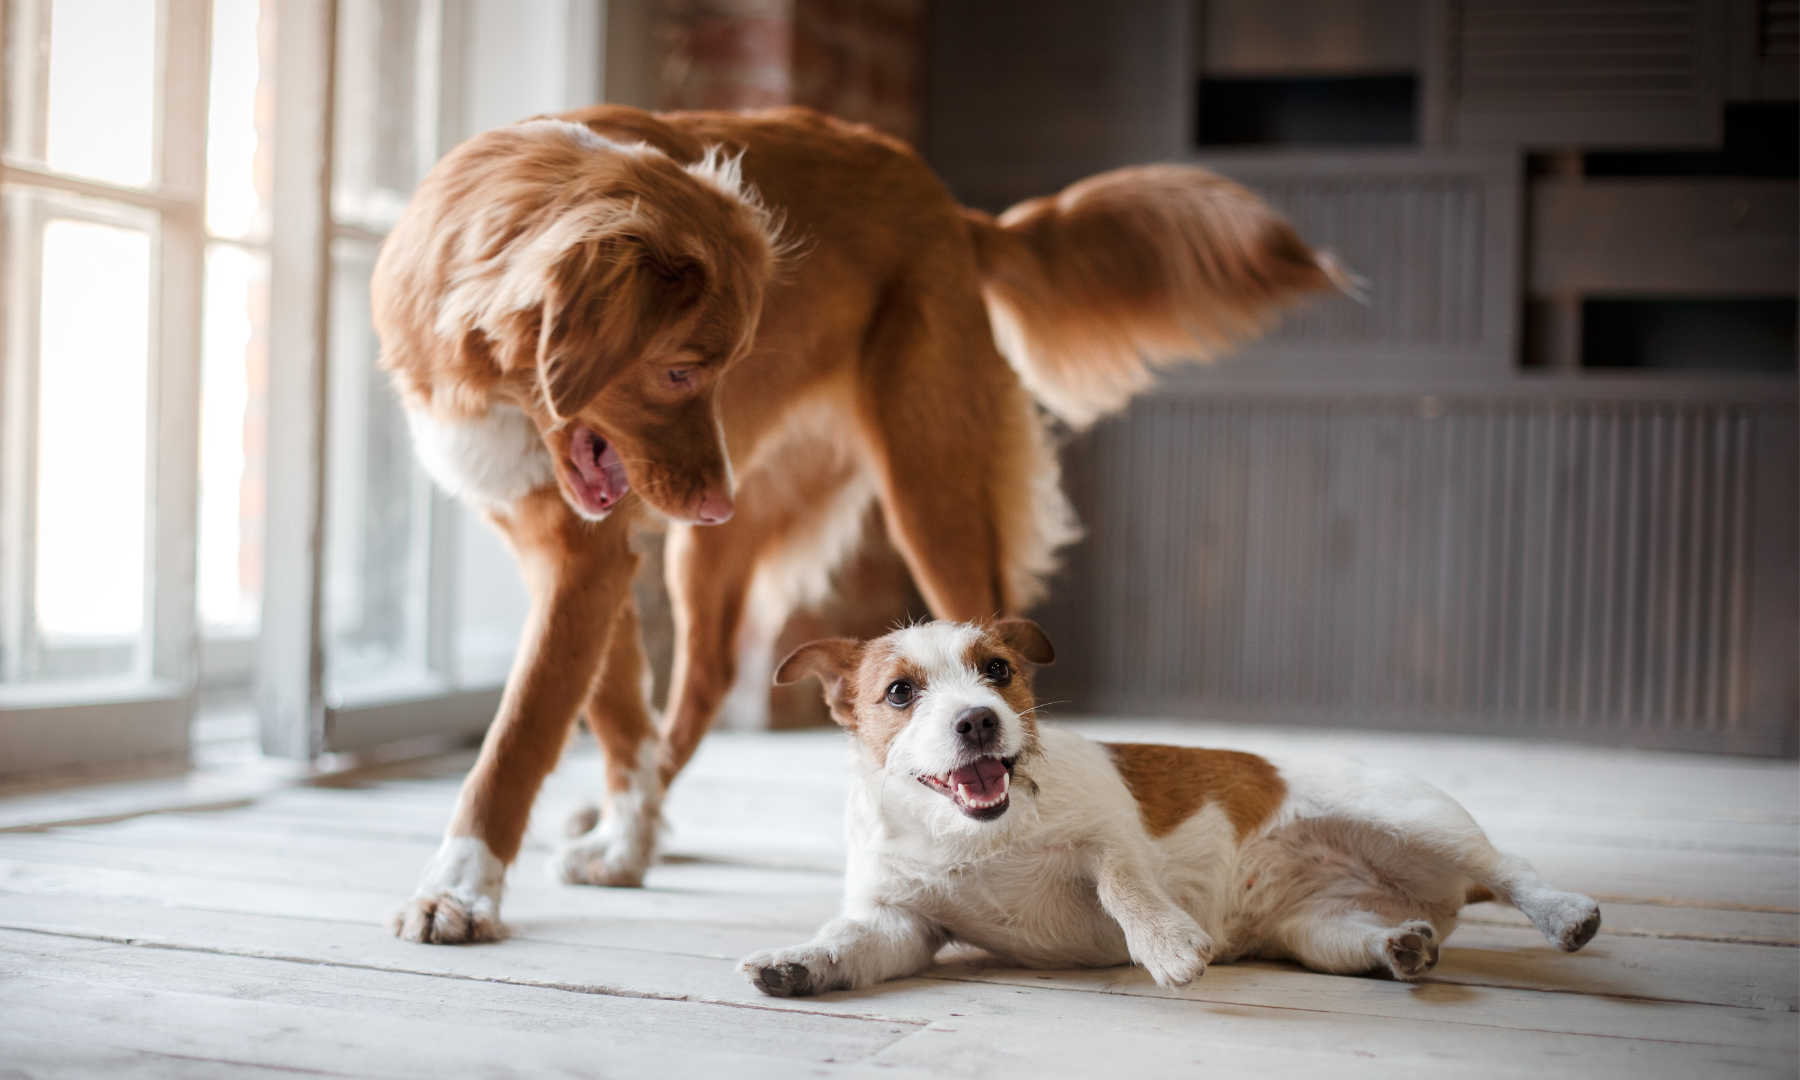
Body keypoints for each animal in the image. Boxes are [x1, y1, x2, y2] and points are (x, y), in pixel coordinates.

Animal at [745, 615, 1605, 993]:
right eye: (900, 693)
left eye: (998, 671)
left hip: (1414, 820)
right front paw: (799, 961)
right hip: (1315, 928)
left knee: (1513, 867)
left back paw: (1565, 914)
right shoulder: (902, 924)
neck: (972, 836)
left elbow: (1122, 880)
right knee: (1360, 936)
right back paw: (1399, 947)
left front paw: (1164, 942)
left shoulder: (1111, 834)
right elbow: (851, 941)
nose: (980, 720)